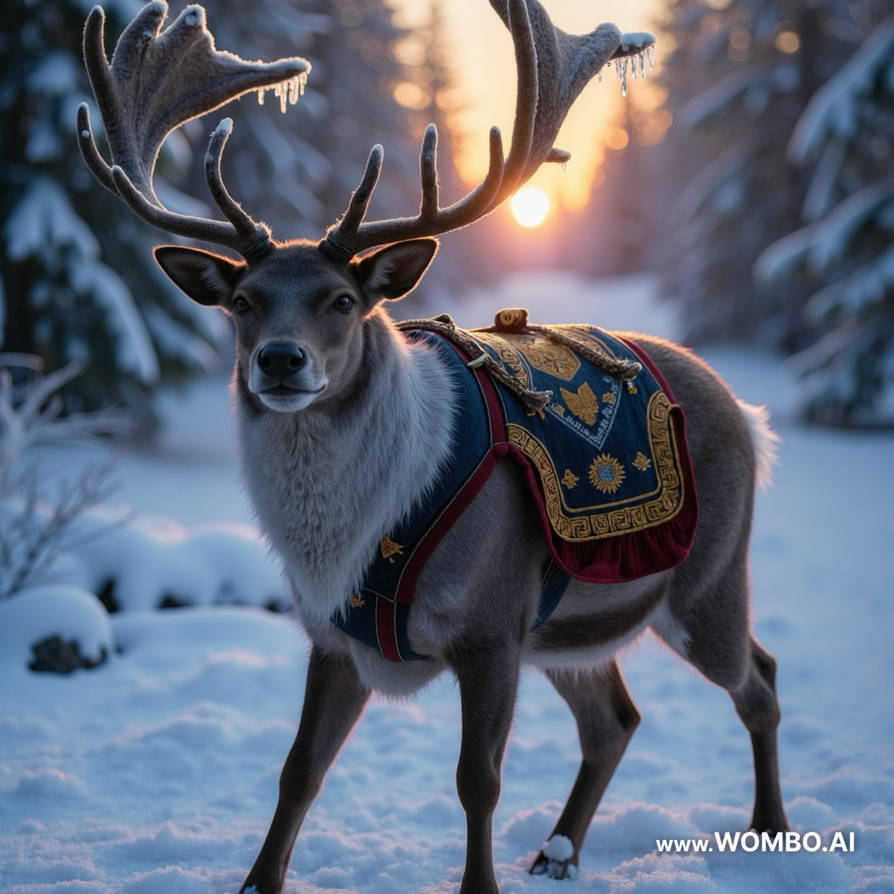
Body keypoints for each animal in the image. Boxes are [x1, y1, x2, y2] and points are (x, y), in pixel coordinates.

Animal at [77, 2, 788, 892]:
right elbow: (298, 771)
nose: (280, 360)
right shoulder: (333, 634)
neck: (347, 536)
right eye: (242, 301)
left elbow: (476, 780)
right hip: (569, 628)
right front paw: (256, 880)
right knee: (616, 719)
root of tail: (749, 414)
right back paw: (558, 852)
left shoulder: (490, 625)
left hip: (705, 579)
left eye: (342, 300)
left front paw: (477, 883)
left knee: (759, 680)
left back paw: (767, 827)